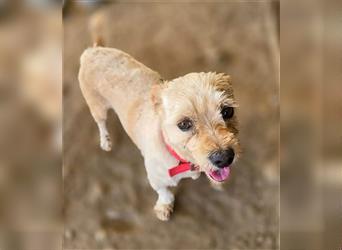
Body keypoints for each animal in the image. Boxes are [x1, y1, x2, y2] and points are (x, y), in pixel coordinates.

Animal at [79, 15, 242, 221]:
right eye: (184, 124)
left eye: (227, 111)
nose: (225, 158)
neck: (181, 158)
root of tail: (94, 49)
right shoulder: (156, 179)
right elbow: (164, 193)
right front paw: (164, 206)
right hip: (96, 106)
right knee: (101, 123)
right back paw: (105, 141)